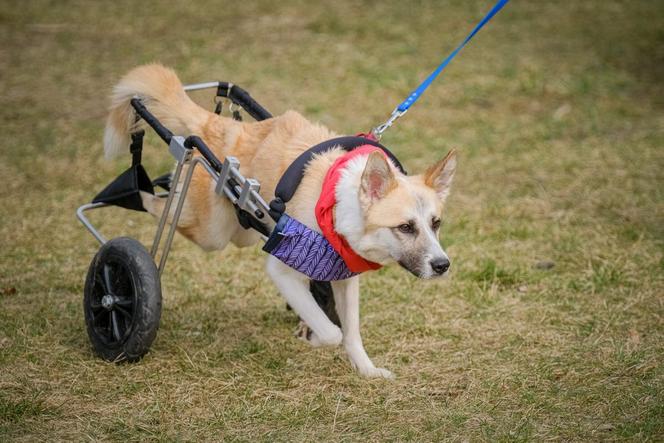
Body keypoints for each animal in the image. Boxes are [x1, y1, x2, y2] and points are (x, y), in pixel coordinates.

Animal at [104, 65, 456, 378]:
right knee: (160, 202)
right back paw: (130, 192)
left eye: (436, 223)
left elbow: (352, 332)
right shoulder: (280, 269)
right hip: (211, 231)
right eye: (405, 227)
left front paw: (366, 370)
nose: (443, 265)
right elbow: (333, 333)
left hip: (243, 228)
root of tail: (225, 126)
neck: (337, 207)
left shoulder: (344, 277)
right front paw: (313, 336)